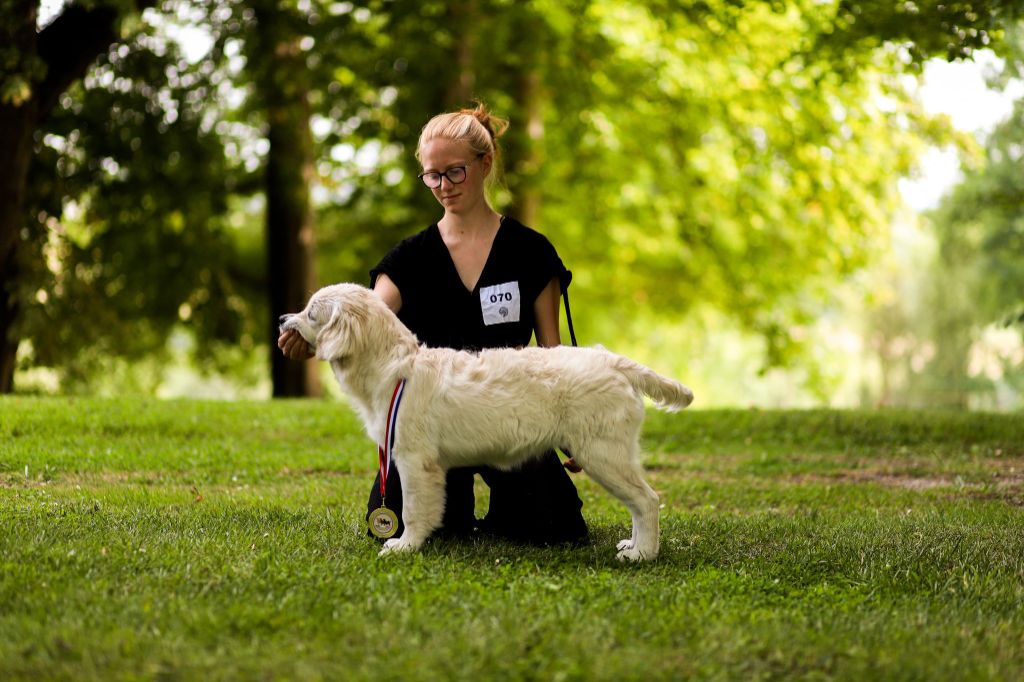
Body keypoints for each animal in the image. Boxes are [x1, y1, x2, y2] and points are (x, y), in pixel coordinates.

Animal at [280, 280, 696, 557]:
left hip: (603, 453)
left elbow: (413, 509)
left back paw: (642, 554)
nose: (283, 317)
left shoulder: (415, 461)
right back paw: (634, 545)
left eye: (311, 312)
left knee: (647, 500)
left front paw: (404, 545)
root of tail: (613, 360)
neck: (393, 367)